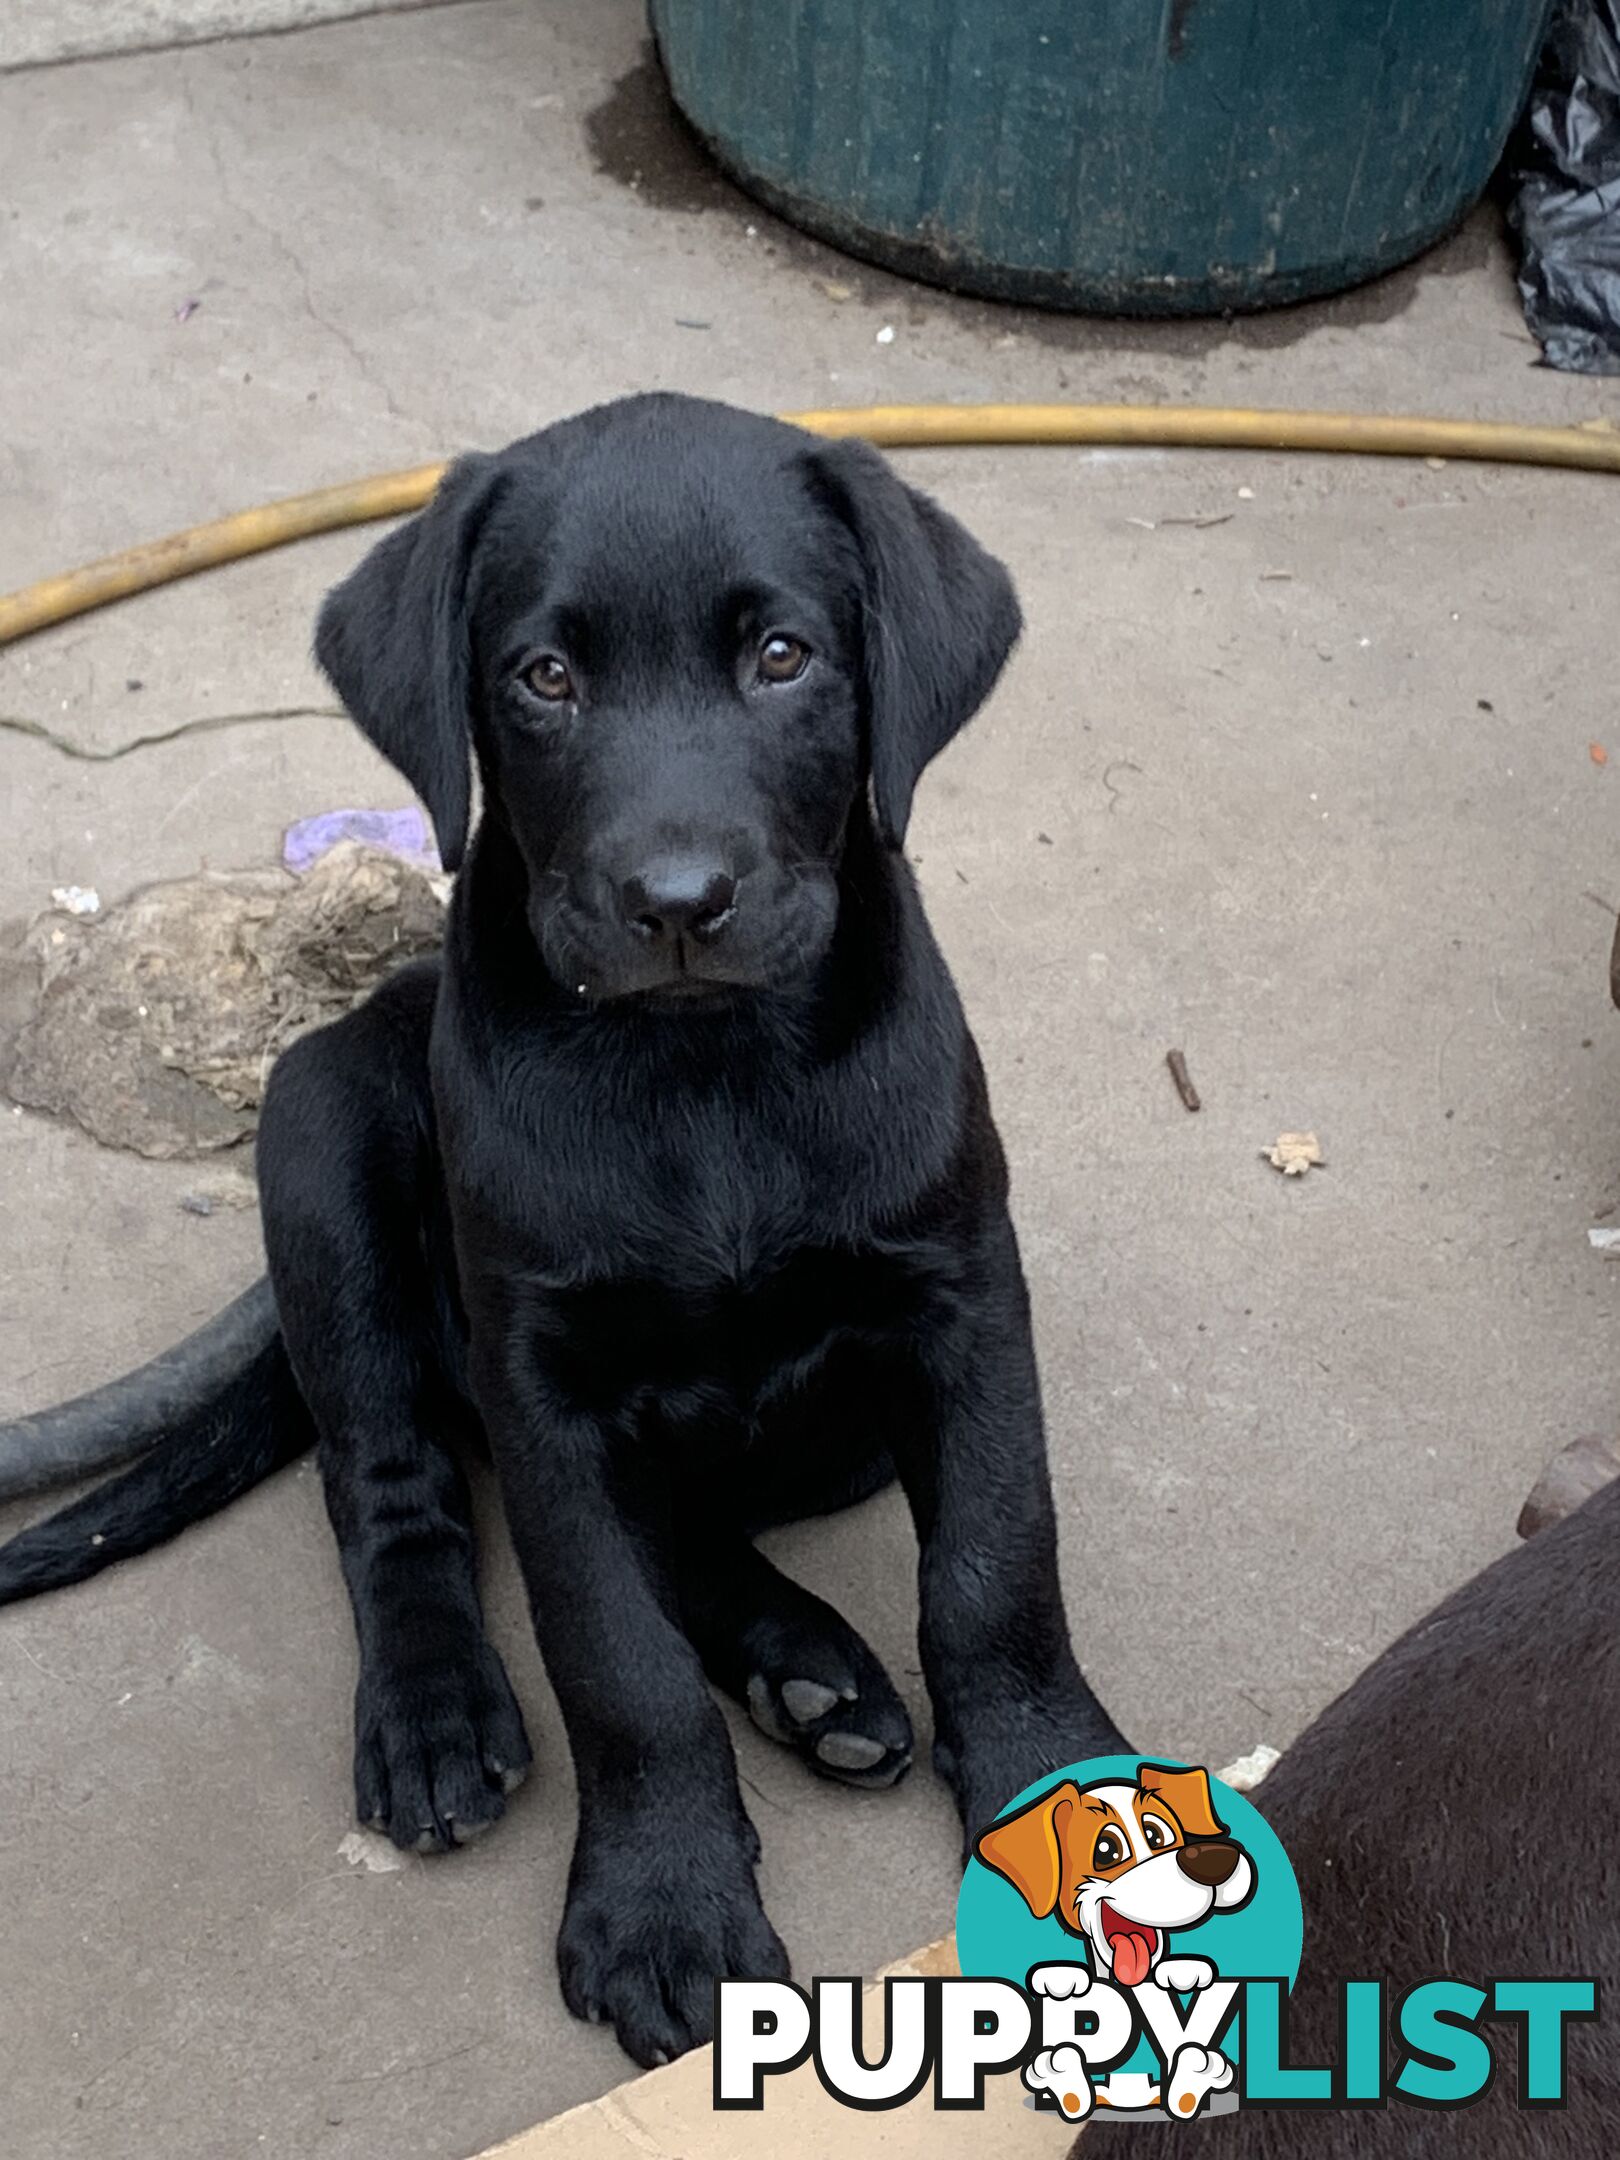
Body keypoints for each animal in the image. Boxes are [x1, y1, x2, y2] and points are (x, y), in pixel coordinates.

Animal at [3, 397, 1131, 2064]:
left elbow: (997, 1562)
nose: (676, 901)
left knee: (684, 1529)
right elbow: (612, 1652)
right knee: (395, 1490)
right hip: (318, 1138)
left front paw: (1064, 1791)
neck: (703, 1071)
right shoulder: (540, 1377)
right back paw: (440, 1710)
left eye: (782, 656)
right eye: (545, 677)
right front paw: (665, 1906)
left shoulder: (960, 1291)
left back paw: (806, 1673)